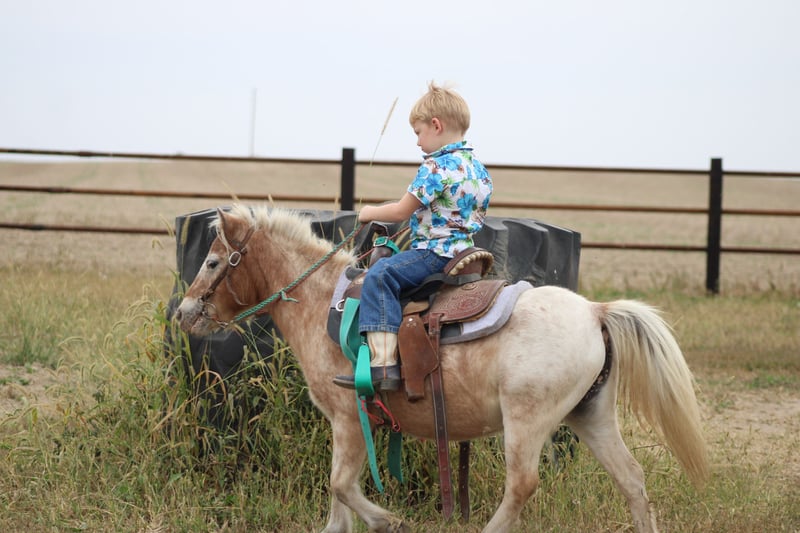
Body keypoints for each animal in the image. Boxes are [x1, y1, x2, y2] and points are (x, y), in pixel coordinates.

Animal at [174, 204, 708, 533]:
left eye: (215, 261)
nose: (183, 313)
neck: (323, 300)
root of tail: (595, 311)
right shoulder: (348, 425)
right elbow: (336, 501)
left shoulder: (350, 417)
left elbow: (341, 486)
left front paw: (389, 520)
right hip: (591, 415)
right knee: (631, 478)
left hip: (527, 420)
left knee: (522, 484)